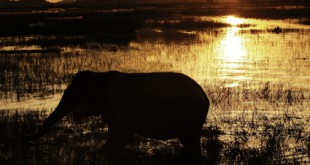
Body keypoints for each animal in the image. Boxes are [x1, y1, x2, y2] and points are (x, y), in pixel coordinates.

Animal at [23, 70, 208, 163]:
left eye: (74, 94)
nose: (26, 139)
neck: (100, 76)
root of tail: (206, 98)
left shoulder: (119, 106)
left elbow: (122, 138)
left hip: (191, 116)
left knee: (190, 141)